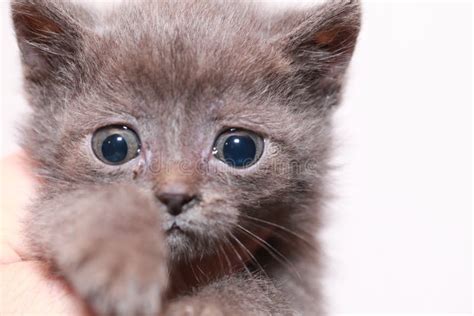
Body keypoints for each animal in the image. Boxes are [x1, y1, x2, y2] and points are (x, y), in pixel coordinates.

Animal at [11, 0, 360, 314]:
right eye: (114, 146)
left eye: (239, 149)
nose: (175, 196)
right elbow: (80, 203)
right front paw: (122, 263)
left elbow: (265, 295)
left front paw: (207, 306)